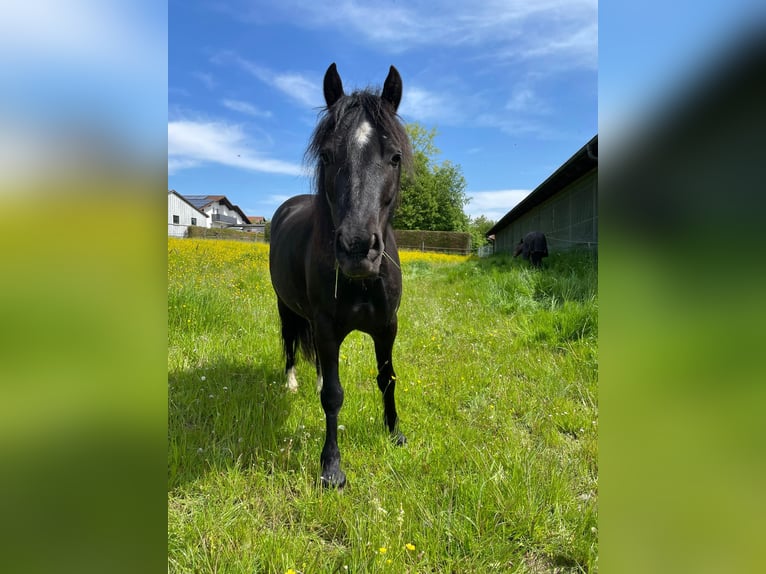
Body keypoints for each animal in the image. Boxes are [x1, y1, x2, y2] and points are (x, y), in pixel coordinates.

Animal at [268, 63, 412, 488]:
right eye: (328, 155)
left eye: (395, 157)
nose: (357, 247)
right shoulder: (327, 327)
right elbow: (332, 395)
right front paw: (331, 467)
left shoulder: (387, 327)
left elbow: (387, 378)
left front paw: (394, 432)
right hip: (287, 308)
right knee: (290, 344)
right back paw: (292, 383)